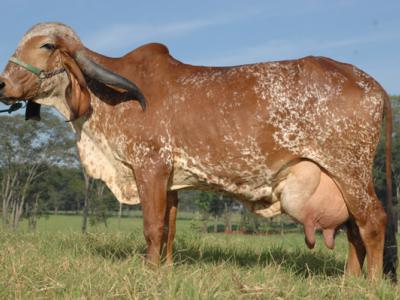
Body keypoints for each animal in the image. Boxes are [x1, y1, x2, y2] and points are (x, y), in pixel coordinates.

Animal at [0, 22, 394, 278]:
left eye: (46, 46)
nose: (2, 84)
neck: (106, 99)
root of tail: (372, 83)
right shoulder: (172, 181)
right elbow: (169, 229)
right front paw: (166, 269)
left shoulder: (150, 166)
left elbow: (152, 227)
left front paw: (150, 272)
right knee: (354, 228)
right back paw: (349, 281)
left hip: (350, 169)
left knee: (373, 221)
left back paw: (370, 284)